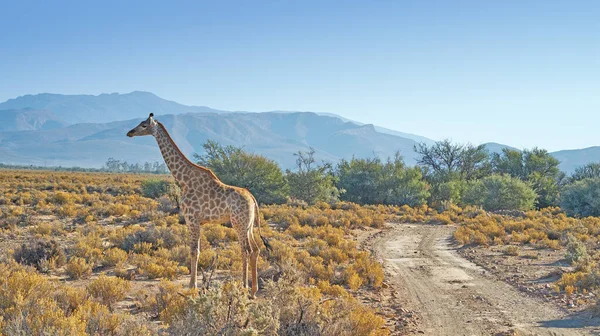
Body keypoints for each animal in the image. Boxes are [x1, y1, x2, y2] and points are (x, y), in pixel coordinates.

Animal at [127, 113, 270, 296]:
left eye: (144, 125)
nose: (130, 132)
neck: (184, 180)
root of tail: (252, 198)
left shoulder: (192, 219)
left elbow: (194, 251)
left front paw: (192, 287)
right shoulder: (197, 221)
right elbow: (198, 250)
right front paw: (194, 285)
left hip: (238, 222)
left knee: (246, 250)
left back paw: (244, 287)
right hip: (249, 225)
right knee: (256, 249)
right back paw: (253, 290)